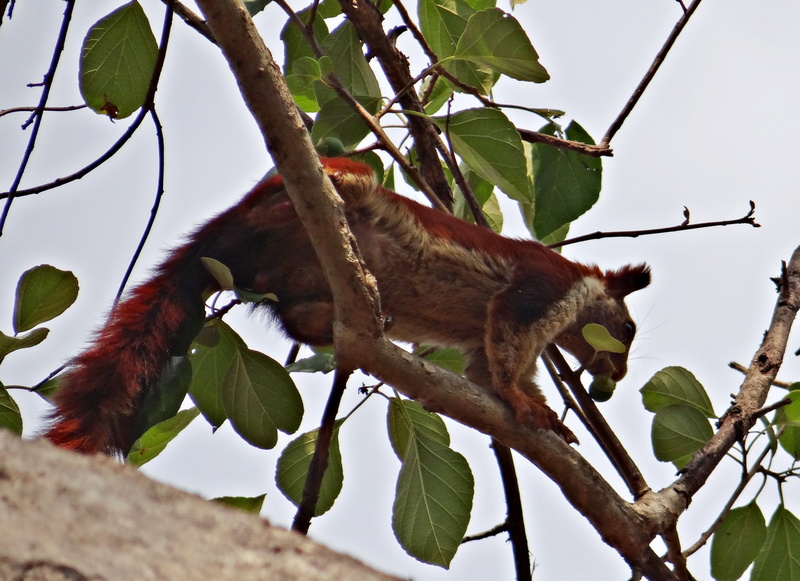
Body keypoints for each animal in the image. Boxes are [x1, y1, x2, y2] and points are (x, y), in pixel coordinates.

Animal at [44, 157, 650, 454]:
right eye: (627, 327)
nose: (617, 374)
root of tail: (229, 232)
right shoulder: (539, 289)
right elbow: (506, 345)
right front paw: (525, 404)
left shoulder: (498, 340)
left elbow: (488, 368)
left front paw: (547, 419)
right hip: (306, 195)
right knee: (325, 184)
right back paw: (325, 184)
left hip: (289, 282)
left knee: (293, 317)